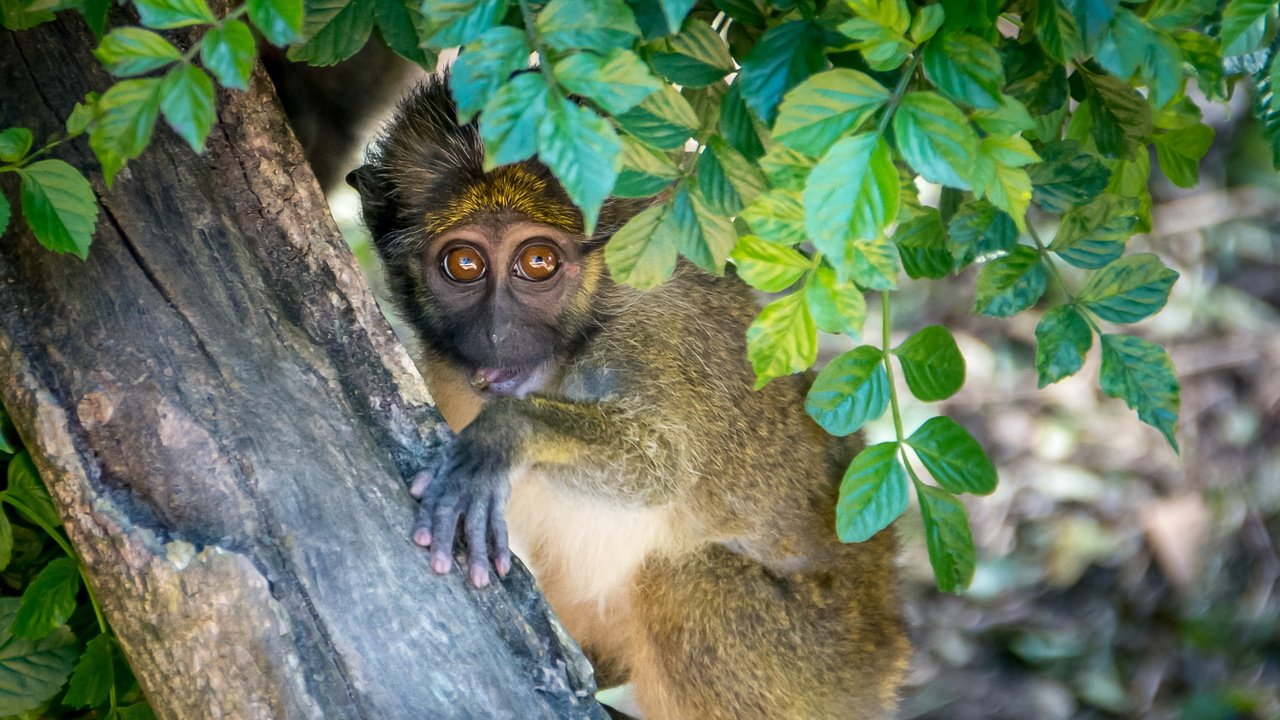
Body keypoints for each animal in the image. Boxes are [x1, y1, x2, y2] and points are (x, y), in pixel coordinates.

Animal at [348, 75, 911, 712]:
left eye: (537, 262)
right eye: (464, 264)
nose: (497, 333)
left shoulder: (656, 341)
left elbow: (660, 466)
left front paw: (507, 433)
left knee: (684, 578)